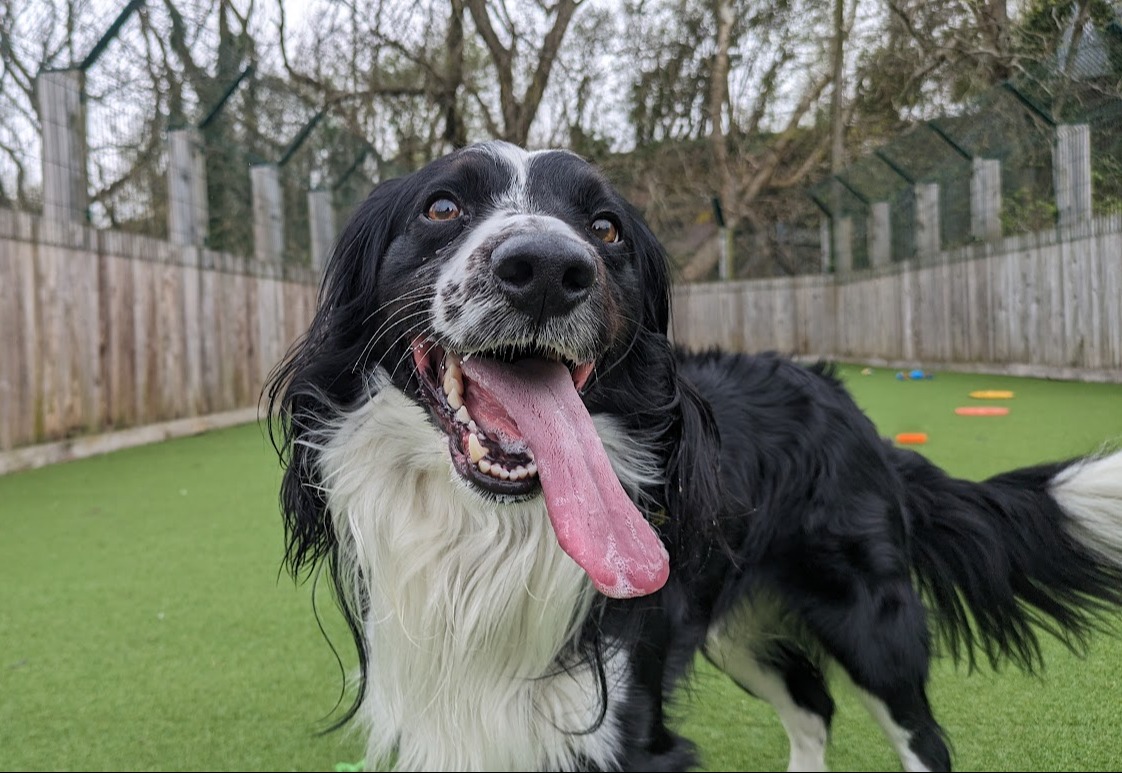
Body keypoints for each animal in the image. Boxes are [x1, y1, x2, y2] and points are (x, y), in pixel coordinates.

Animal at [267, 140, 1122, 771]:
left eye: (606, 227)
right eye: (442, 206)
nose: (546, 269)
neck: (488, 536)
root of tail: (840, 395)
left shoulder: (627, 731)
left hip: (872, 622)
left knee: (923, 739)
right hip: (736, 627)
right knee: (813, 706)